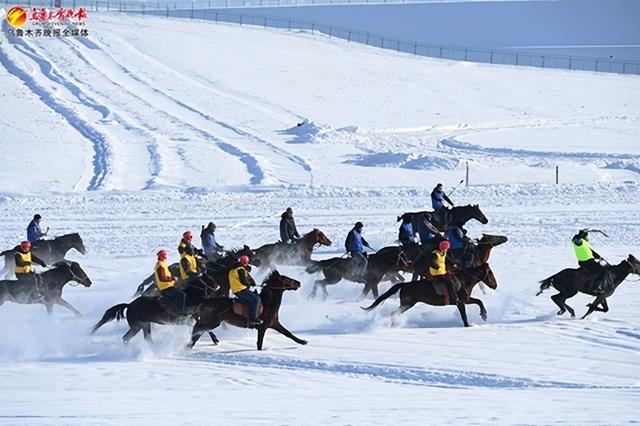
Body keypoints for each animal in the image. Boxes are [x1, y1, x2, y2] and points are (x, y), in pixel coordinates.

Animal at [362, 262, 498, 326]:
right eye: (490, 273)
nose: (495, 285)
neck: (463, 281)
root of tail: (404, 285)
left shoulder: (466, 299)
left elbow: (479, 301)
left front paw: (484, 315)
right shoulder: (460, 302)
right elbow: (464, 314)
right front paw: (468, 325)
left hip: (406, 304)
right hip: (407, 304)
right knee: (394, 313)